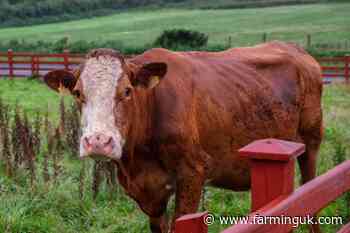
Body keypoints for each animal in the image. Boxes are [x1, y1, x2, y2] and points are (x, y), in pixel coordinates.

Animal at [43, 41, 322, 233]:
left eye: (127, 91)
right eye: (78, 93)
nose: (98, 142)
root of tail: (297, 50)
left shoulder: (193, 173)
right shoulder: (150, 193)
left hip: (311, 143)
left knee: (313, 195)